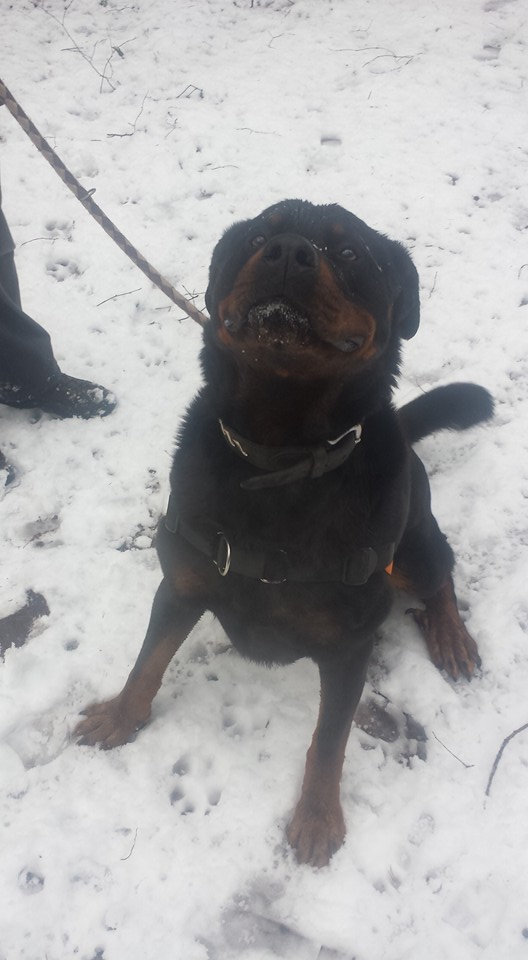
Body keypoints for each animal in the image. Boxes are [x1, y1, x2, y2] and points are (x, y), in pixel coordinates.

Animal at [74, 202, 490, 872]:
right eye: (258, 236)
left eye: (349, 254)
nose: (289, 252)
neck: (281, 459)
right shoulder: (181, 585)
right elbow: (147, 663)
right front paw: (121, 717)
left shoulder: (350, 644)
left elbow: (328, 739)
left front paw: (317, 818)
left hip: (414, 547)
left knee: (441, 574)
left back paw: (450, 634)